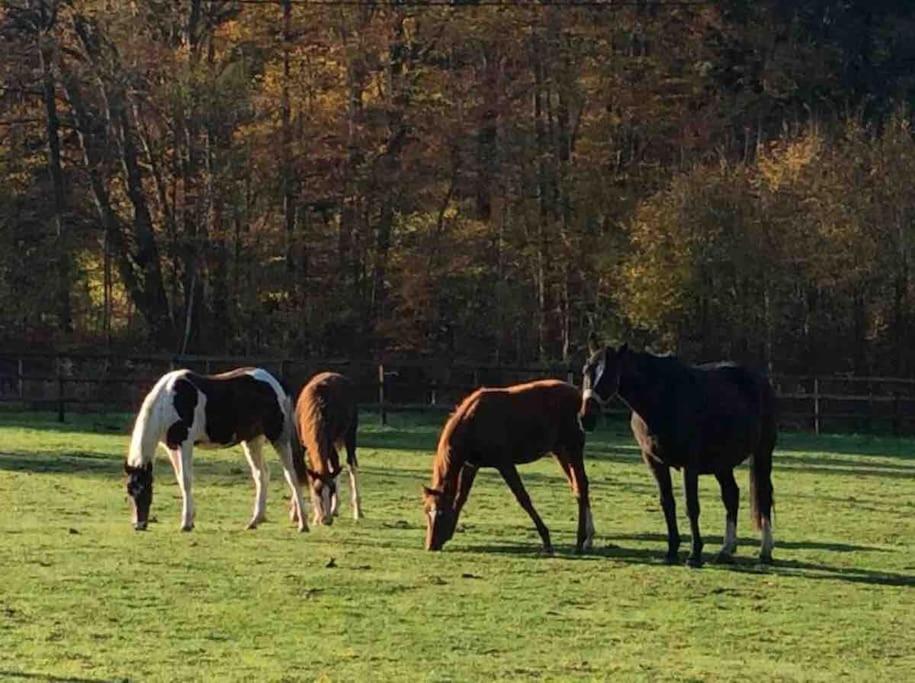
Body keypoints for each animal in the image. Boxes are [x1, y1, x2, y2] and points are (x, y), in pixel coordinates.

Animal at [124, 367, 308, 533]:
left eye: (145, 490)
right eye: (130, 492)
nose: (139, 525)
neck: (169, 401)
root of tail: (277, 382)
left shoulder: (186, 444)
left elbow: (186, 480)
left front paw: (186, 523)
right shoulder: (172, 448)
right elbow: (181, 479)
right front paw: (191, 519)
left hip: (279, 437)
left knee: (291, 476)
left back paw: (303, 524)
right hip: (252, 440)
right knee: (262, 475)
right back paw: (254, 521)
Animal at [292, 371, 362, 526]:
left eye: (331, 492)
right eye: (317, 491)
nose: (326, 520)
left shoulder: (329, 444)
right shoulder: (302, 445)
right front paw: (297, 514)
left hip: (350, 434)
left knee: (350, 464)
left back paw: (357, 511)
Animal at [423, 379, 595, 554]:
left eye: (441, 513)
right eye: (426, 511)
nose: (431, 545)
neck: (473, 423)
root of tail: (577, 393)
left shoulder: (505, 464)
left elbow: (523, 498)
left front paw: (546, 540)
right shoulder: (472, 465)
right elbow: (461, 498)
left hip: (573, 448)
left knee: (580, 486)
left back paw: (580, 541)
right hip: (559, 450)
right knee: (578, 486)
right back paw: (588, 538)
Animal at [580, 342, 776, 567]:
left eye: (610, 373)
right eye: (586, 370)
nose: (586, 418)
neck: (661, 400)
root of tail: (762, 381)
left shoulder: (689, 465)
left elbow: (691, 507)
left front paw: (694, 555)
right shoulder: (655, 462)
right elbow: (668, 503)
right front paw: (672, 551)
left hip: (762, 453)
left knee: (764, 496)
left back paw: (765, 551)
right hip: (722, 464)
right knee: (731, 496)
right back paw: (726, 550)